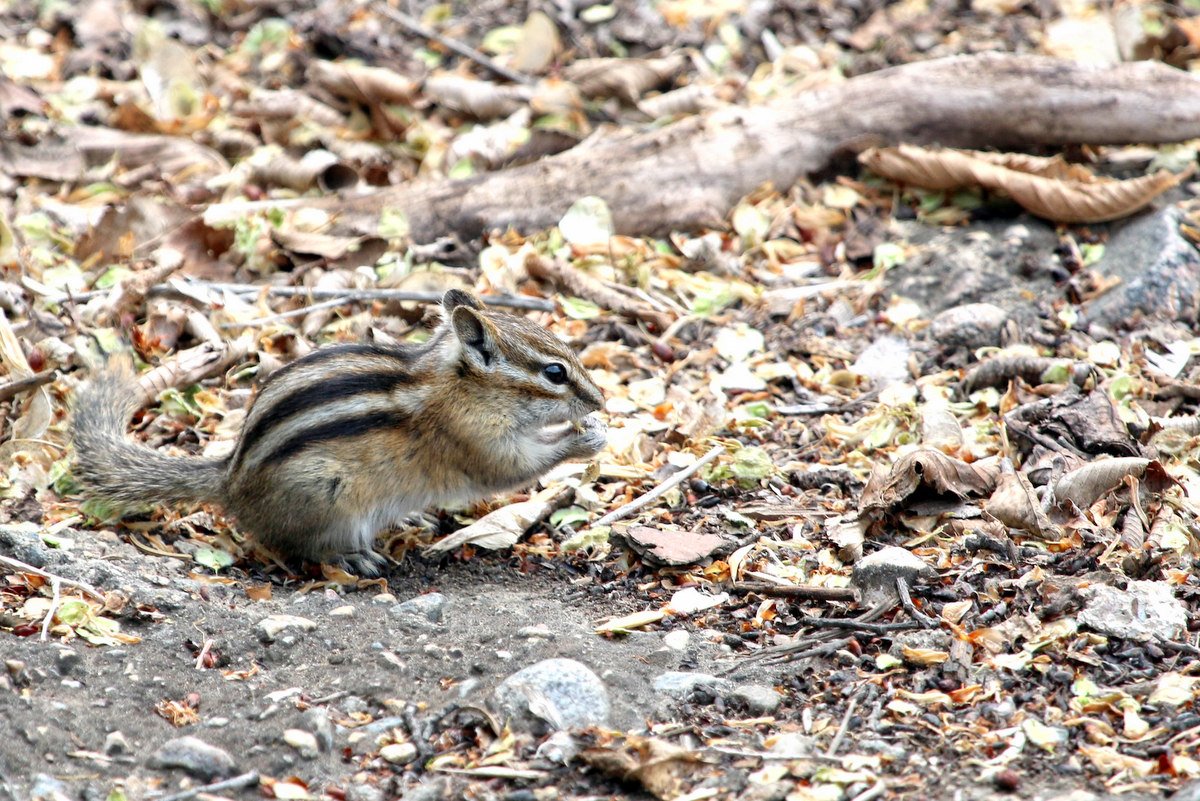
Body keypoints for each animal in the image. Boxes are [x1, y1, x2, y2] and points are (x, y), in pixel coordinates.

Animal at [70, 289, 607, 575]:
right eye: (555, 373)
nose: (600, 400)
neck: (457, 385)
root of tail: (230, 480)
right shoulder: (475, 442)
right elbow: (516, 469)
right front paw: (587, 437)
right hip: (326, 500)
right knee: (294, 547)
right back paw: (353, 559)